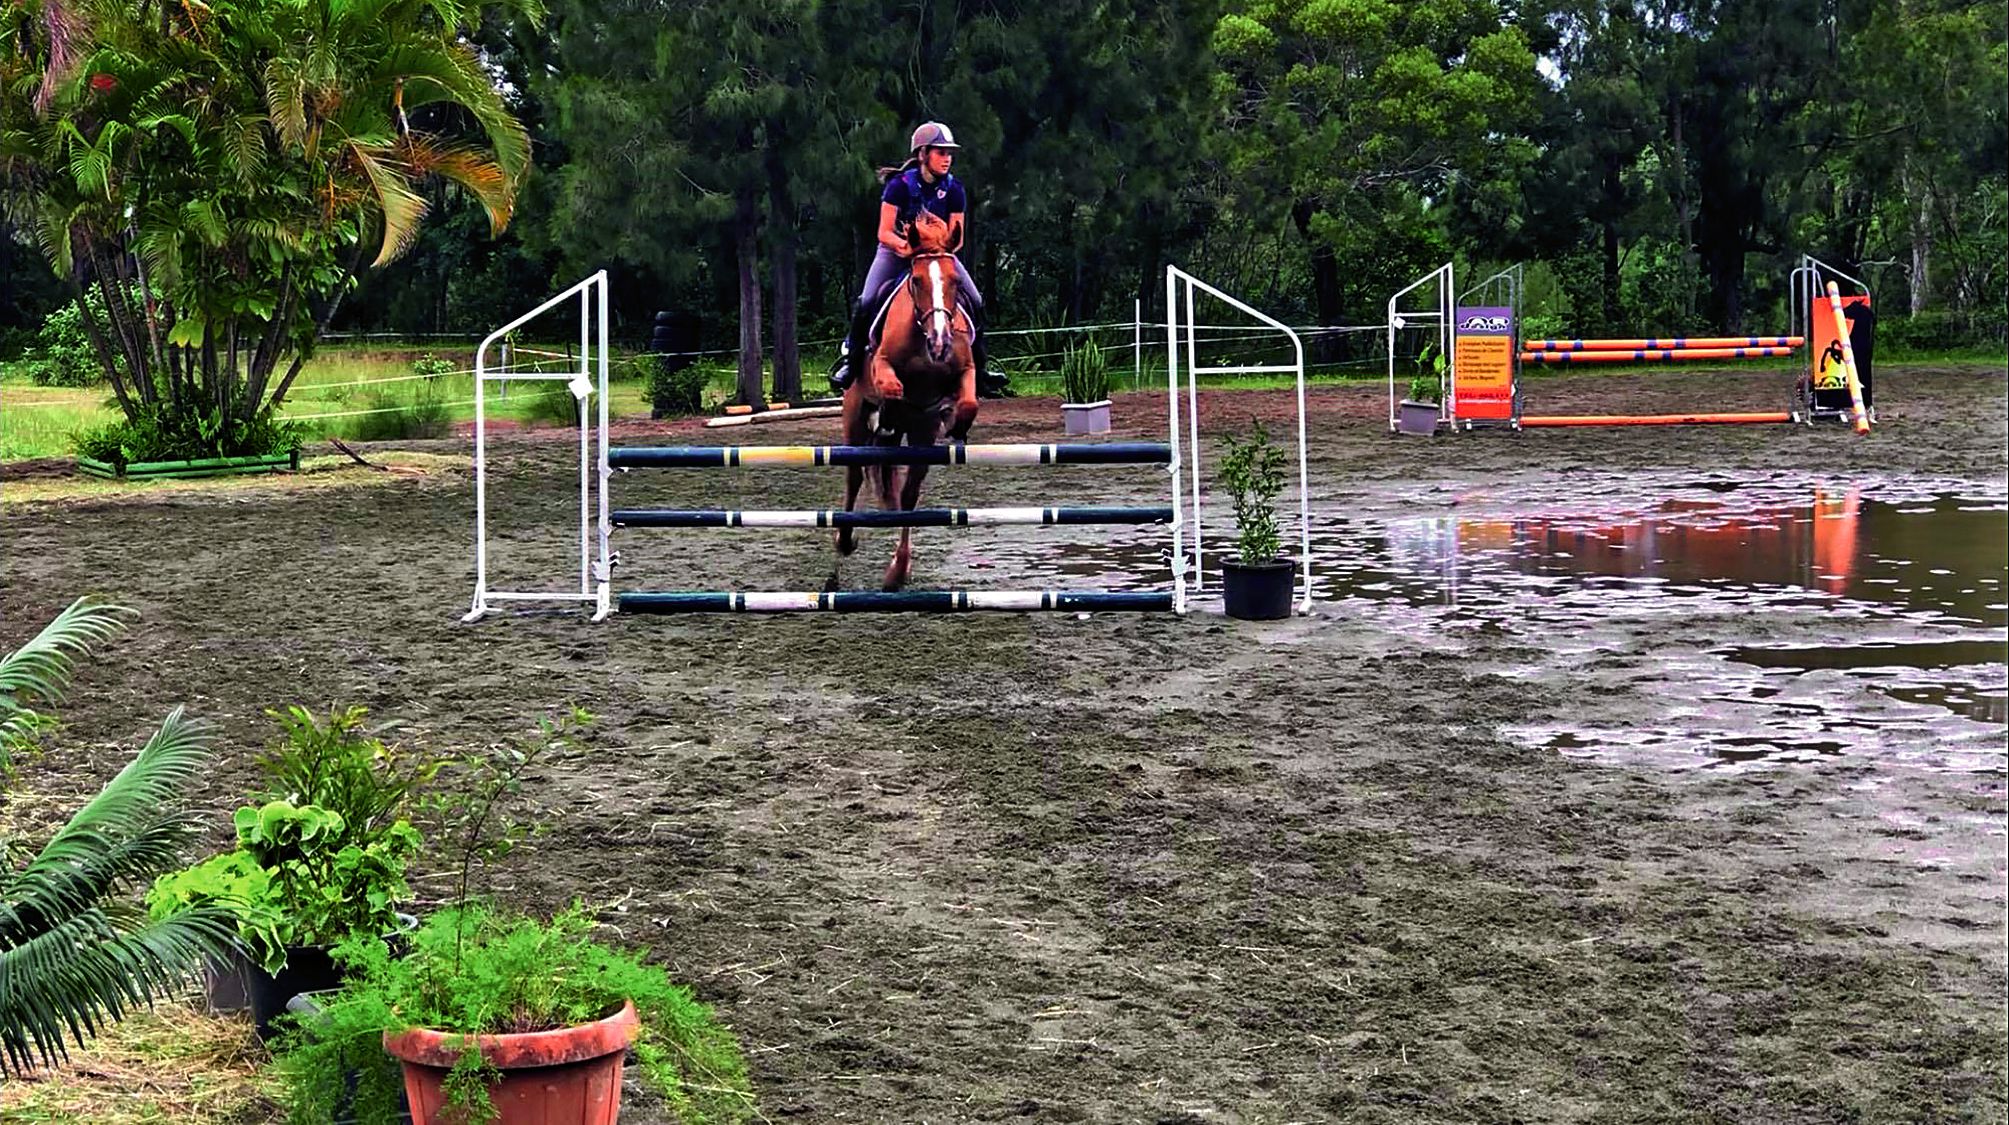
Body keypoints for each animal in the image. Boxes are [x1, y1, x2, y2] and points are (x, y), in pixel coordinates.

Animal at [831, 212, 980, 598]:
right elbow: (892, 388)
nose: (941, 342)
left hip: (922, 437)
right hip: (853, 418)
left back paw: (897, 572)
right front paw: (889, 411)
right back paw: (844, 542)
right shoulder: (882, 367)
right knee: (854, 476)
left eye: (954, 281)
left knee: (909, 494)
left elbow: (969, 403)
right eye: (916, 280)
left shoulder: (966, 373)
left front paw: (957, 425)